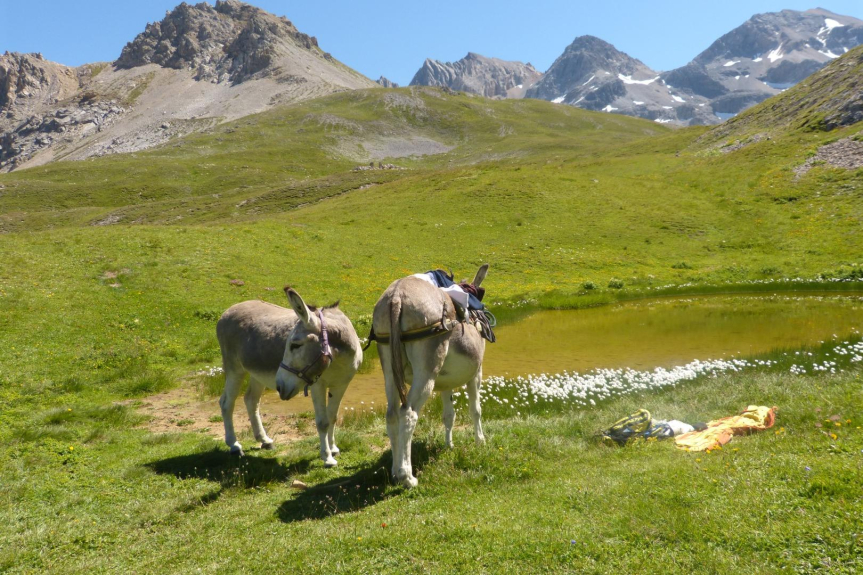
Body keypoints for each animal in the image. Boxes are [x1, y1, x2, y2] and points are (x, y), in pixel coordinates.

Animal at [216, 287, 362, 466]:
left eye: (295, 345)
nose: (280, 387)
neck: (337, 360)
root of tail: (229, 310)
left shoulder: (341, 384)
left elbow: (332, 417)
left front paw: (333, 448)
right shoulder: (317, 385)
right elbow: (322, 422)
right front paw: (327, 458)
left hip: (256, 374)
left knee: (251, 400)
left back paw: (264, 440)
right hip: (234, 369)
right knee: (226, 403)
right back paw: (235, 446)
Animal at [372, 264, 489, 488]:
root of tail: (397, 296)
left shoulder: (446, 383)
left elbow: (449, 415)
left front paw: (449, 445)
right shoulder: (476, 373)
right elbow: (476, 409)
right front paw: (481, 441)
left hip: (389, 371)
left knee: (392, 415)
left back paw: (395, 471)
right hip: (426, 374)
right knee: (408, 414)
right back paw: (407, 477)